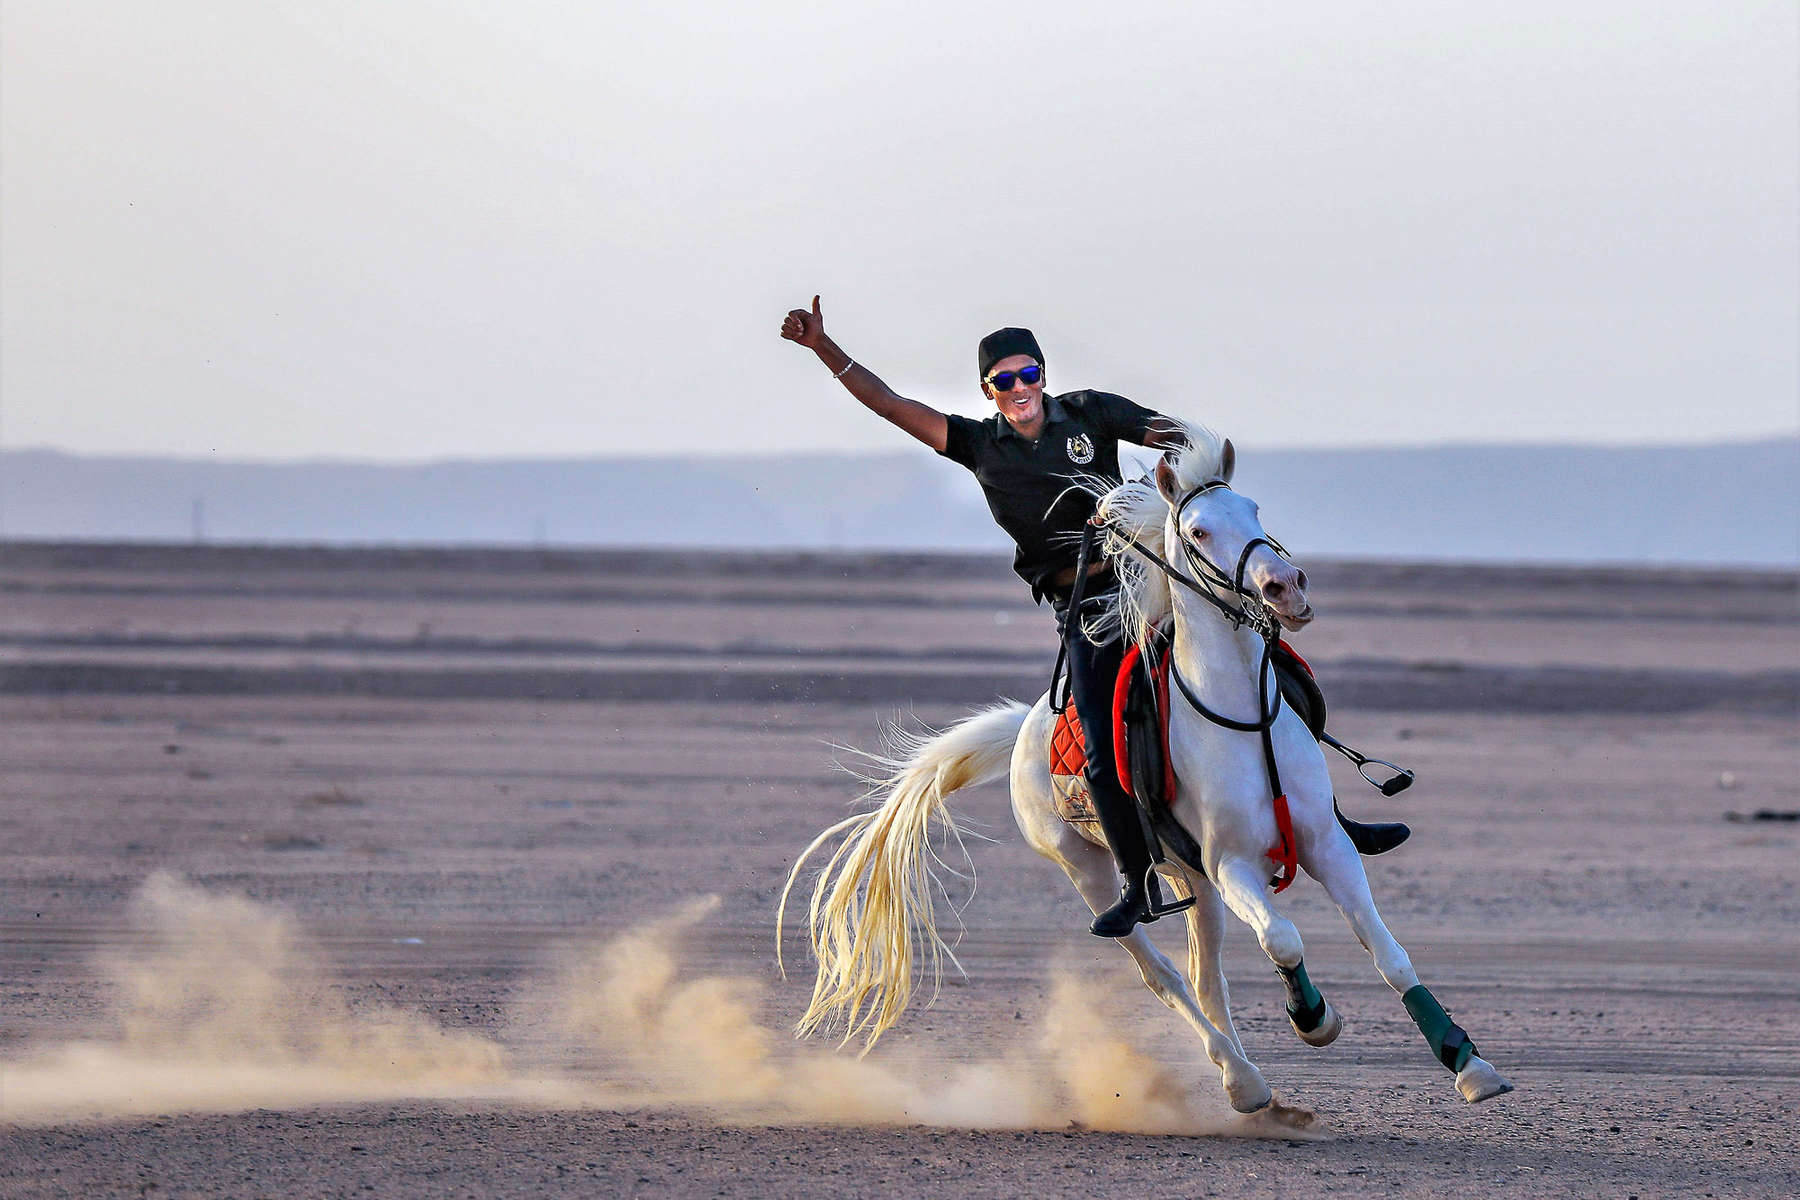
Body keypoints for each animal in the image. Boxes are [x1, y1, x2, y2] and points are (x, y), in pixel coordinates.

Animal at [781, 429, 1512, 1115]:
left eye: (1254, 508)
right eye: (1198, 530)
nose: (1286, 588)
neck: (1242, 717)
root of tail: (1023, 727)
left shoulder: (1325, 845)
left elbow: (1388, 954)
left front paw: (1469, 1063)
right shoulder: (1232, 864)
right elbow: (1282, 938)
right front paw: (1313, 1018)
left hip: (1194, 881)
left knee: (1207, 977)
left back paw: (1250, 1083)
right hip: (1093, 871)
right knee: (1163, 974)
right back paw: (1243, 1081)